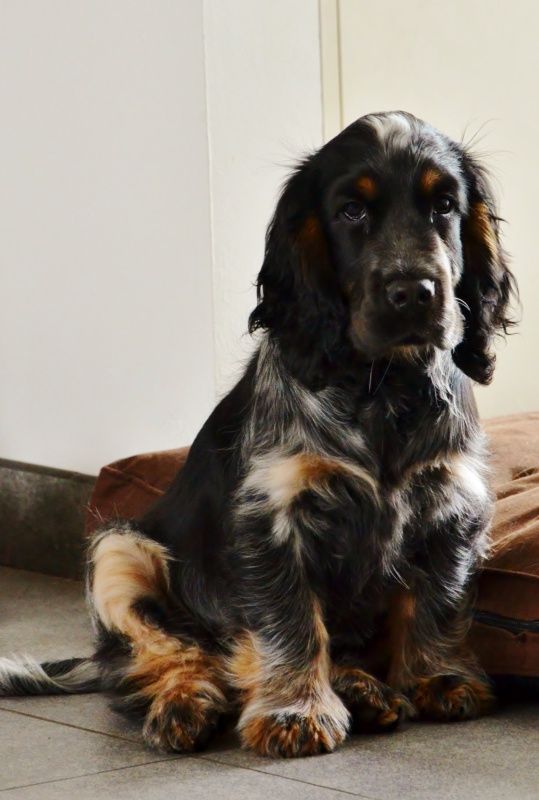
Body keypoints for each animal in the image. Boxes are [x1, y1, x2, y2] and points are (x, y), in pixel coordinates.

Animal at [0, 111, 516, 756]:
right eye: (351, 211)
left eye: (444, 205)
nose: (414, 293)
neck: (383, 388)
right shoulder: (272, 517)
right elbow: (289, 622)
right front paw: (294, 713)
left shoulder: (451, 502)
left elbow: (438, 600)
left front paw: (439, 678)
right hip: (118, 550)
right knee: (168, 658)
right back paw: (186, 706)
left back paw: (364, 692)